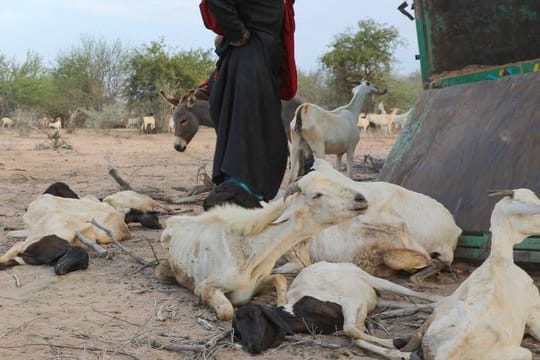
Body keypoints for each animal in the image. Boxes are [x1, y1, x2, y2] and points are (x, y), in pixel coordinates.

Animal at [154, 170, 370, 320]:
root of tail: (172, 222)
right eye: (317, 195)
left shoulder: (259, 282)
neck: (252, 250)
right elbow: (227, 311)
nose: (361, 198)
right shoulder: (206, 287)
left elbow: (280, 279)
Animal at [234, 262, 440, 358]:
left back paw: (438, 300)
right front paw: (400, 351)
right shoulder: (354, 320)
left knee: (410, 292)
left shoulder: (351, 303)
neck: (298, 311)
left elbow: (352, 330)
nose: (251, 345)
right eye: (237, 331)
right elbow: (357, 339)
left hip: (374, 280)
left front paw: (398, 343)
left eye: (254, 314)